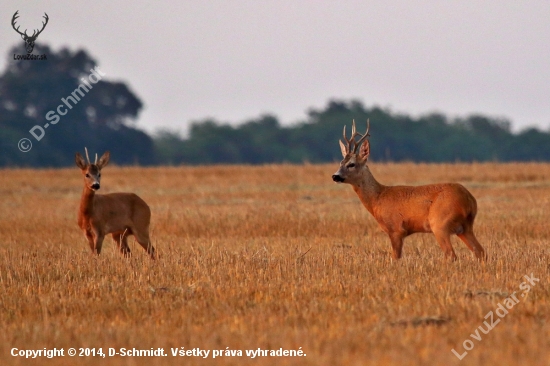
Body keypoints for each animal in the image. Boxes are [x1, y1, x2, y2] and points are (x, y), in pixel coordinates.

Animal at [332, 120, 488, 260]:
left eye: (352, 164)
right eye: (341, 162)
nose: (335, 176)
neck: (378, 198)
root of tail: (469, 200)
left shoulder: (395, 229)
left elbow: (395, 258)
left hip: (440, 224)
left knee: (451, 255)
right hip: (465, 228)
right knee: (481, 252)